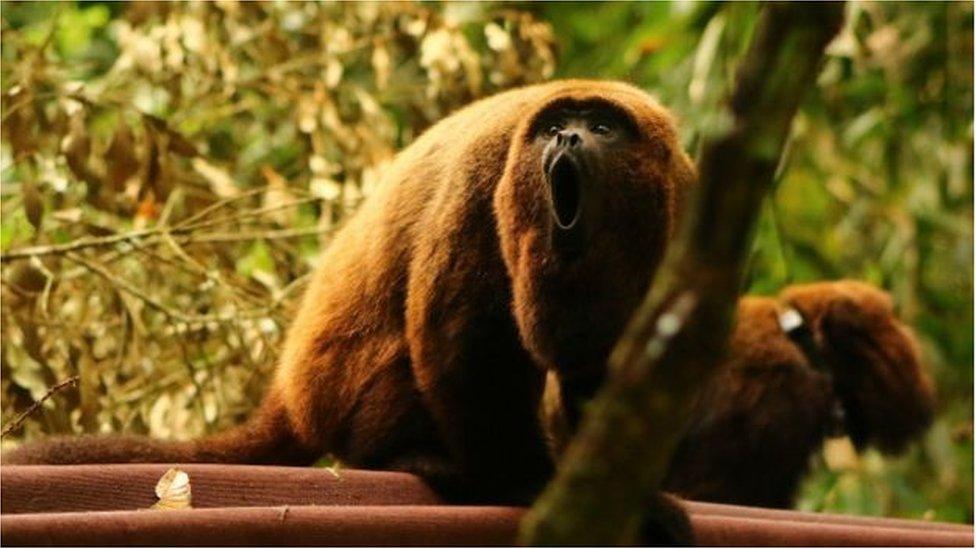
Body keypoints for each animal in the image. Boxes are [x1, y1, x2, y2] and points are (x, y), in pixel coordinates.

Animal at [4, 81, 935, 523]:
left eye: (603, 127)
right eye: (560, 125)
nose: (566, 135)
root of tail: (291, 400)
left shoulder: (686, 211)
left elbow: (606, 372)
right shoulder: (491, 169)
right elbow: (463, 343)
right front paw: (529, 486)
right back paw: (421, 458)